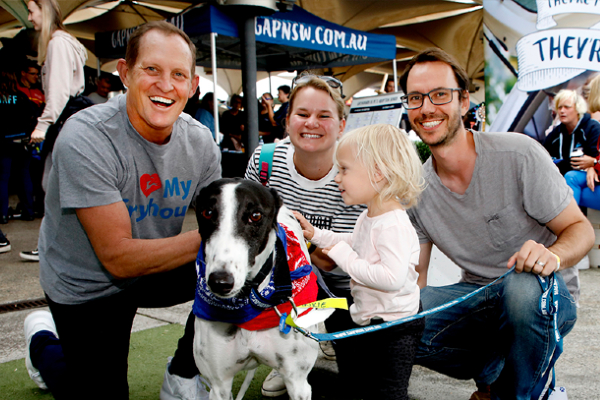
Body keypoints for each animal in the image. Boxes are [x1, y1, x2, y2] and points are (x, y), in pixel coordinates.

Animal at [193, 180, 330, 400]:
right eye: (207, 212)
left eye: (255, 215)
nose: (220, 281)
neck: (250, 302)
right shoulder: (219, 385)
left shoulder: (298, 381)